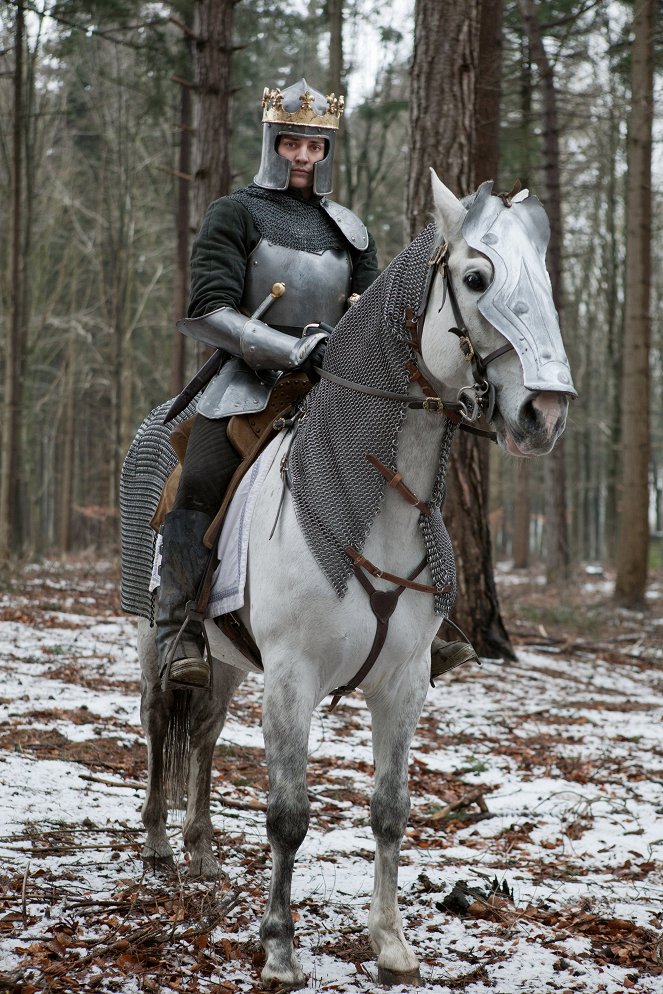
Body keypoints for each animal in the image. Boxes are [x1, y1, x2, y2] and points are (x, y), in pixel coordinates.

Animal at [134, 172, 572, 984]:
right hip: (155, 639)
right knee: (159, 723)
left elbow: (389, 810)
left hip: (229, 662)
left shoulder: (403, 683)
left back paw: (202, 852)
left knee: (204, 733)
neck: (377, 510)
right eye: (477, 278)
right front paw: (280, 950)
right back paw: (154, 846)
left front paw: (391, 943)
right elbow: (288, 815)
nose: (544, 413)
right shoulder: (291, 676)